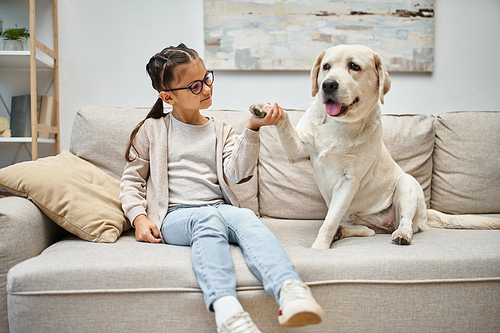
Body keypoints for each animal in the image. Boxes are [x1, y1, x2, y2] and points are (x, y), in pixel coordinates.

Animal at [250, 44, 500, 248]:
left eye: (354, 66)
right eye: (326, 67)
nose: (327, 84)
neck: (339, 125)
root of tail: (426, 214)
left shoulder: (348, 182)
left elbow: (327, 223)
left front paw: (319, 248)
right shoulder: (299, 149)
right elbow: (285, 122)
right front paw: (266, 109)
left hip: (406, 185)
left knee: (404, 222)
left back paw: (401, 234)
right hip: (356, 215)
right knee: (366, 230)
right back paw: (344, 232)